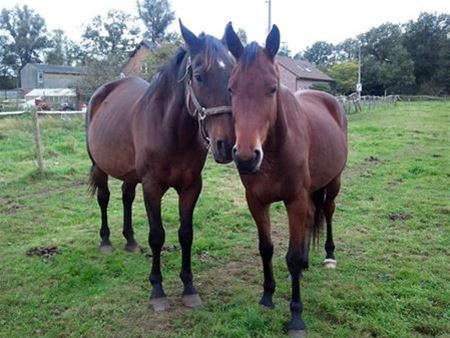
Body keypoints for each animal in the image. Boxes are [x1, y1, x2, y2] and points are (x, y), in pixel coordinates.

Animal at [87, 21, 236, 310]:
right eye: (198, 76)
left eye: (233, 76)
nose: (227, 144)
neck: (171, 131)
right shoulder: (152, 186)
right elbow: (157, 235)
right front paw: (157, 289)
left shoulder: (191, 187)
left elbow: (186, 234)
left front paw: (189, 287)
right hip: (99, 166)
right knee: (104, 198)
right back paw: (106, 240)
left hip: (130, 174)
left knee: (126, 197)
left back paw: (130, 240)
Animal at [225, 23, 348, 336]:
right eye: (231, 88)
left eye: (271, 88)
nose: (246, 157)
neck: (274, 151)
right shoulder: (257, 202)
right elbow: (266, 248)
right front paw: (267, 295)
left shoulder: (294, 200)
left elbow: (289, 258)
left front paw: (296, 316)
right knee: (311, 218)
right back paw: (306, 263)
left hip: (334, 181)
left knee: (328, 211)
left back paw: (329, 255)